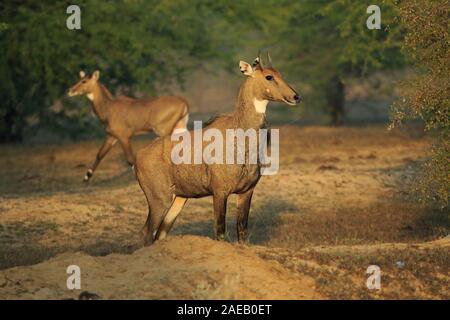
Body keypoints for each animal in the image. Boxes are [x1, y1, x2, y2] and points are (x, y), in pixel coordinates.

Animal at [135, 54, 300, 245]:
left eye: (279, 73)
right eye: (269, 77)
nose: (296, 96)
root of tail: (139, 156)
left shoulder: (246, 191)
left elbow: (242, 231)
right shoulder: (220, 192)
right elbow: (220, 231)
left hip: (179, 198)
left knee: (160, 233)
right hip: (159, 199)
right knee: (146, 232)